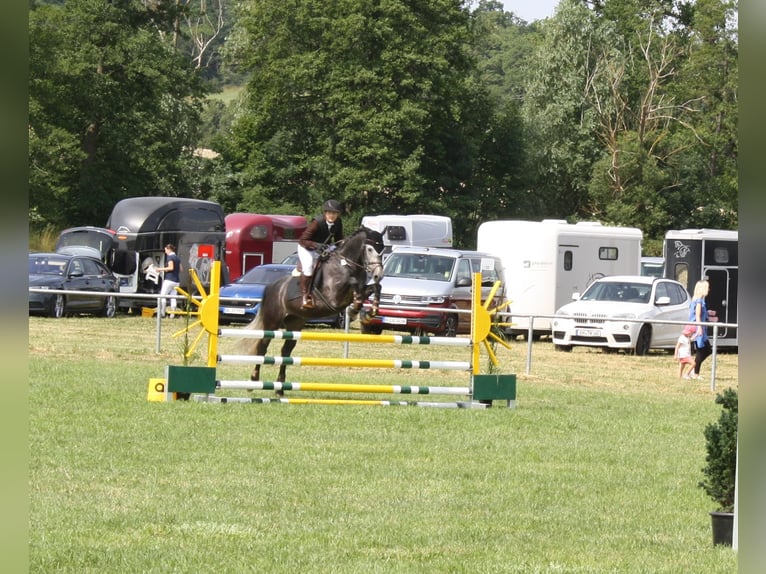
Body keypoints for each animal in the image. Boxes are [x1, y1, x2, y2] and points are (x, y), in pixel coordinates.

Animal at [240, 227, 384, 390]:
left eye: (382, 250)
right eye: (370, 249)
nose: (379, 274)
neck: (345, 265)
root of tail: (271, 287)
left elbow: (376, 287)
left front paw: (370, 312)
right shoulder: (333, 298)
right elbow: (353, 283)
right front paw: (355, 310)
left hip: (295, 323)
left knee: (286, 351)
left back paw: (280, 387)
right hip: (272, 322)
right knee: (262, 347)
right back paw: (254, 380)